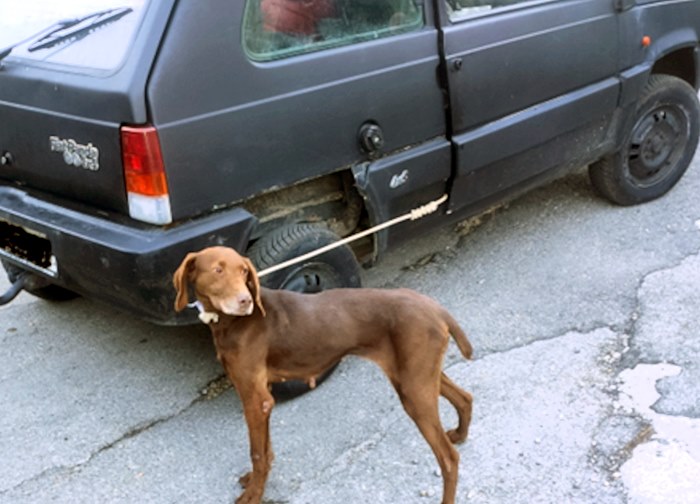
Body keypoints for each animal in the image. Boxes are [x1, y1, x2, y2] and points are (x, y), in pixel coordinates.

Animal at [172, 246, 474, 502]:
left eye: (244, 271)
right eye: (218, 270)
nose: (245, 301)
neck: (232, 322)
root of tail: (436, 308)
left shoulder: (256, 400)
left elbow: (257, 452)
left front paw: (254, 496)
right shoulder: (263, 397)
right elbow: (266, 450)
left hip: (414, 388)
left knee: (449, 459)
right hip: (416, 375)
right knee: (465, 397)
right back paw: (460, 434)